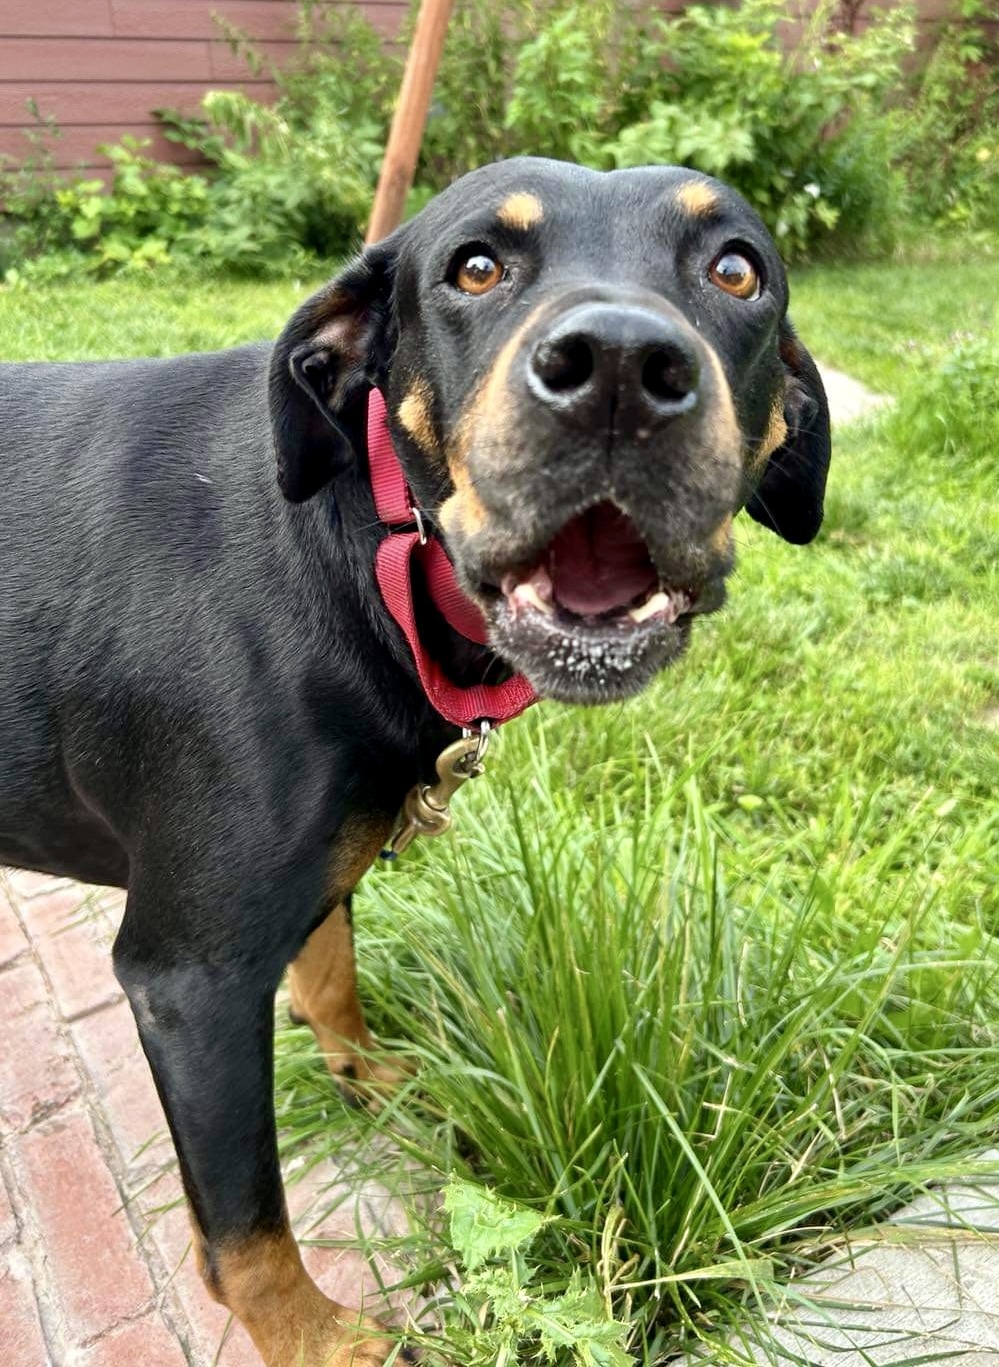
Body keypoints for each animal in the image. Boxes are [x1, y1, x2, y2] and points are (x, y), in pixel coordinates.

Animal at [0, 155, 830, 1361]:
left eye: (737, 269)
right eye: (474, 266)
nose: (620, 368)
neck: (363, 561)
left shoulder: (314, 878)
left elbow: (331, 978)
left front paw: (377, 1077)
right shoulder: (188, 976)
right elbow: (246, 1235)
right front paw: (324, 1341)